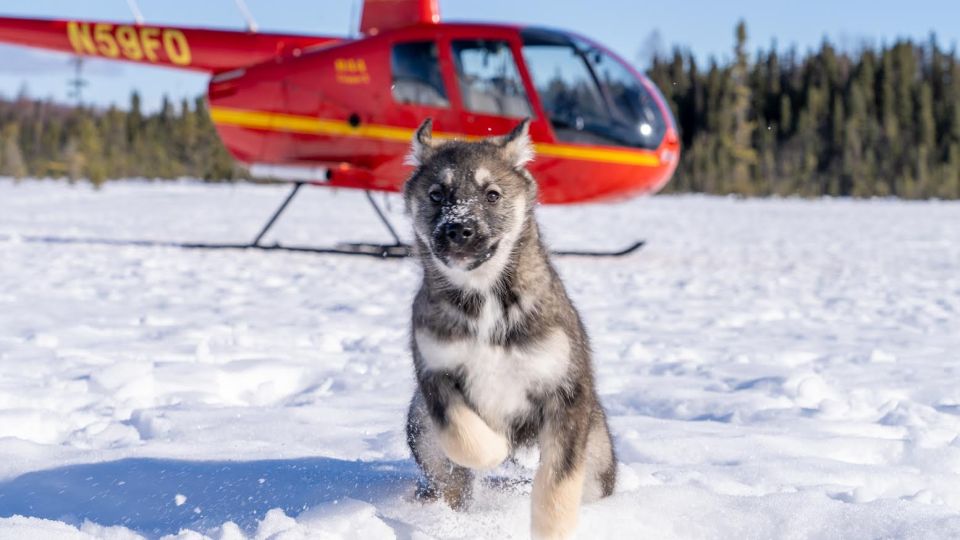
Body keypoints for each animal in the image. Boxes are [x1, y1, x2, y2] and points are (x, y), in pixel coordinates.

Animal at [404, 119, 616, 540]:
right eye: (436, 194)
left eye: (492, 195)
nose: (459, 230)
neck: (484, 301)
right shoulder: (434, 374)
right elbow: (463, 435)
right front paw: (496, 449)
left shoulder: (564, 391)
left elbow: (556, 485)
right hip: (419, 424)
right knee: (452, 487)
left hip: (599, 454)